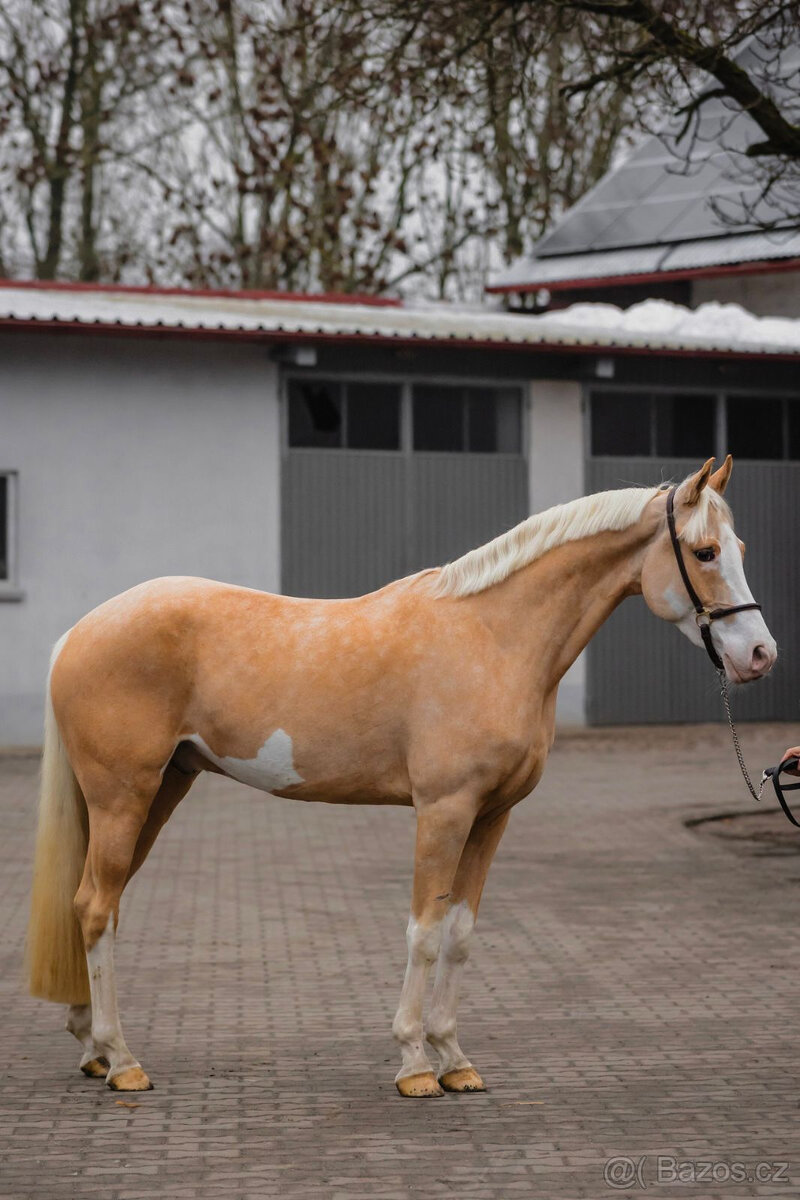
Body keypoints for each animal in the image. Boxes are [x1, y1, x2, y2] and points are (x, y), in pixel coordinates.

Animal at [26, 455, 776, 1097]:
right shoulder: (443, 810)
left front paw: (455, 1058)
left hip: (158, 791)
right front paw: (415, 1063)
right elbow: (423, 929)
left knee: (97, 902)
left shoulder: (491, 816)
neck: (494, 637)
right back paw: (124, 1061)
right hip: (124, 795)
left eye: (742, 548)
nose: (760, 656)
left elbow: (461, 934)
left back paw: (93, 1047)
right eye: (705, 553)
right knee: (96, 907)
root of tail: (77, 632)